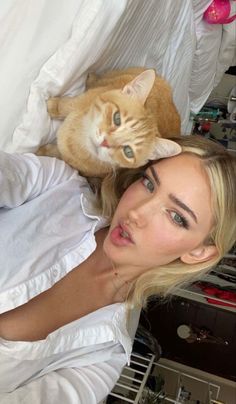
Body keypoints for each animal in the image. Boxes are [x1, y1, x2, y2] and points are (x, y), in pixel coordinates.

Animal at [37, 67, 181, 177]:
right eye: (117, 118)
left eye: (128, 151)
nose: (105, 142)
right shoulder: (83, 100)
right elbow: (66, 105)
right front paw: (53, 106)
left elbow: (59, 155)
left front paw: (42, 151)